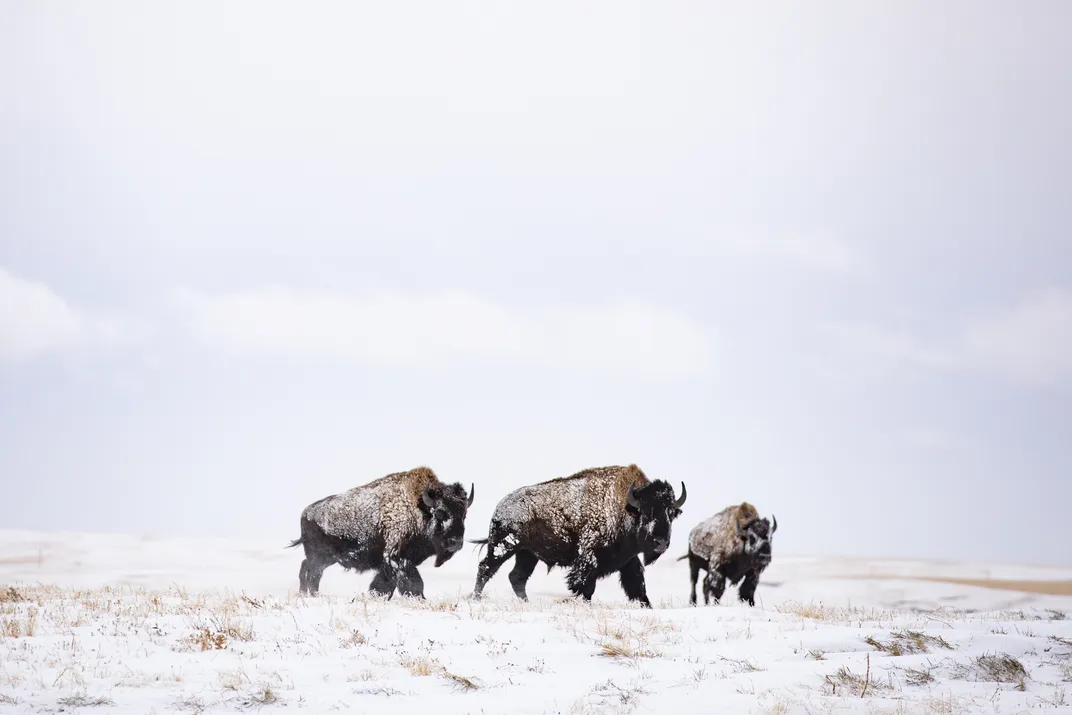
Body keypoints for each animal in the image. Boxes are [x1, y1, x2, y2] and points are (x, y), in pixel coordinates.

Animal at [285, 467, 473, 600]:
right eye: (440, 513)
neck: (419, 508)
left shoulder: (391, 562)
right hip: (318, 557)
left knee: (310, 571)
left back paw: (309, 594)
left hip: (327, 559)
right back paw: (309, 595)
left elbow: (384, 584)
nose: (456, 542)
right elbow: (413, 582)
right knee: (310, 571)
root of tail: (306, 512)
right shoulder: (397, 557)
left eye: (464, 514)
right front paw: (420, 599)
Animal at [469, 465, 686, 608]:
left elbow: (637, 586)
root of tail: (501, 506)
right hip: (503, 546)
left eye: (670, 514)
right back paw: (475, 598)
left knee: (517, 577)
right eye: (646, 512)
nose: (661, 542)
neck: (624, 508)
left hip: (527, 554)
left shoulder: (628, 560)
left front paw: (647, 606)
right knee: (486, 568)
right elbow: (586, 586)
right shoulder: (588, 559)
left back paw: (526, 603)